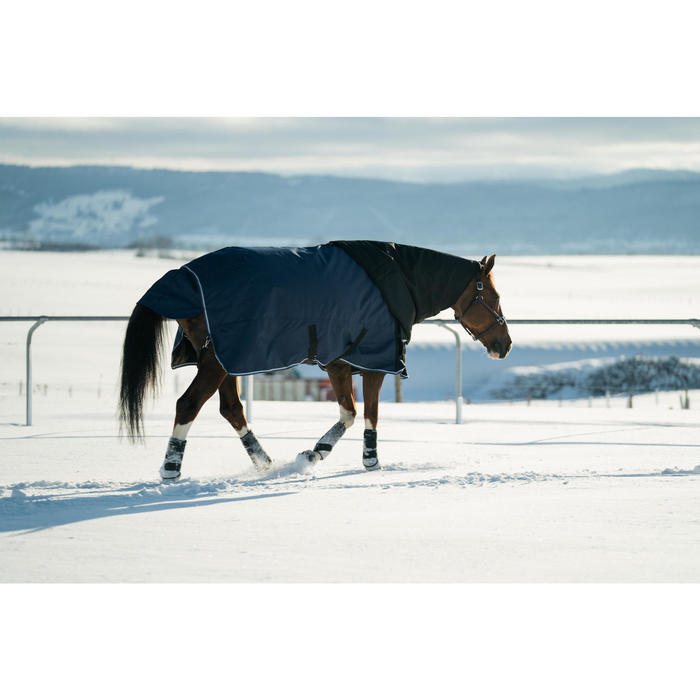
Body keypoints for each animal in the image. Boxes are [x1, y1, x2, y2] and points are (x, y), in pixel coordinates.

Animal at [119, 241, 512, 480]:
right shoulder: (349, 364)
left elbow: (370, 415)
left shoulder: (366, 367)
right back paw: (171, 469)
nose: (504, 345)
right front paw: (316, 453)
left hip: (224, 360)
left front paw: (369, 461)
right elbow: (351, 414)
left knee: (231, 409)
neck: (397, 280)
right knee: (188, 405)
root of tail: (182, 276)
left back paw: (264, 462)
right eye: (493, 296)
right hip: (217, 361)